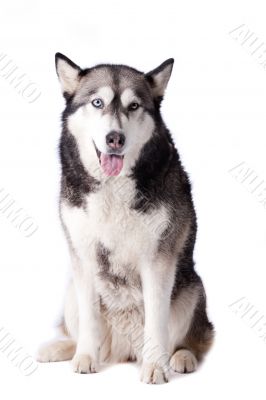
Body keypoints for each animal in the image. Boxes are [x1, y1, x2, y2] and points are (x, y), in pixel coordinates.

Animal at [38, 53, 214, 384]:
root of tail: (124, 350)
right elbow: (90, 320)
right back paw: (62, 348)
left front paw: (155, 367)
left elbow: (157, 322)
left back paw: (180, 357)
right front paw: (85, 358)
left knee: (194, 339)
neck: (113, 186)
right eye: (97, 102)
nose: (114, 139)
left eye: (134, 106)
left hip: (191, 288)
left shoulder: (158, 260)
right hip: (71, 292)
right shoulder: (83, 258)